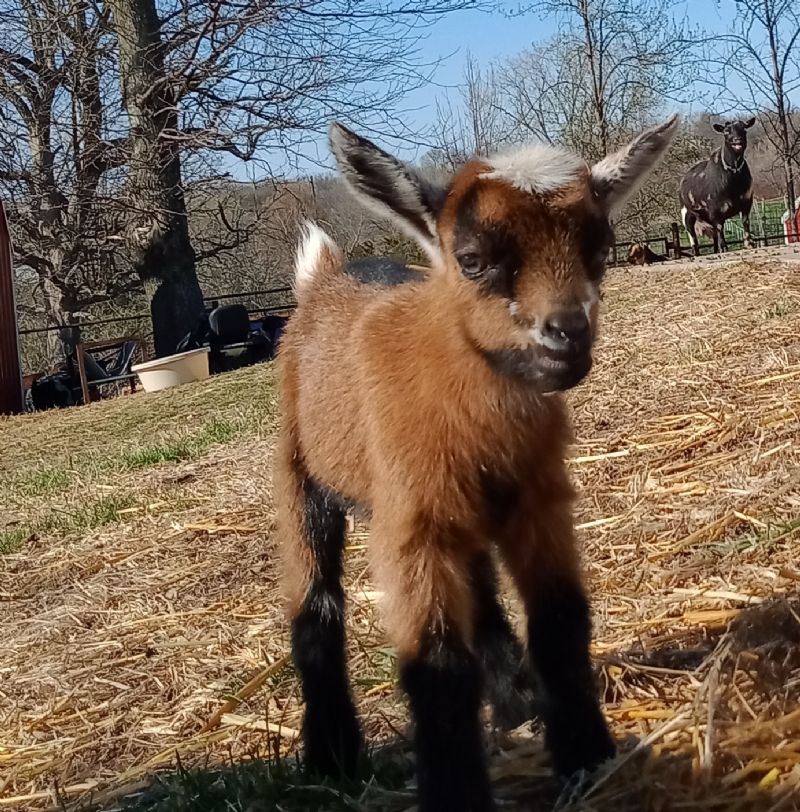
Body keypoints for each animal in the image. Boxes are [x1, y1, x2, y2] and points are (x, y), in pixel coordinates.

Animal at [277, 115, 678, 812]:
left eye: (601, 249)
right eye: (472, 260)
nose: (568, 334)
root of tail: (324, 280)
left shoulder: (539, 501)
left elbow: (561, 623)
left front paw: (587, 756)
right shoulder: (411, 528)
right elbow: (437, 667)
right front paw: (455, 792)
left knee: (481, 588)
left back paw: (515, 702)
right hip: (301, 472)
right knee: (317, 606)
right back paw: (331, 755)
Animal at [679, 118, 756, 255]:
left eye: (744, 129)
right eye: (726, 131)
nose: (737, 140)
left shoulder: (747, 201)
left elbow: (745, 221)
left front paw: (749, 243)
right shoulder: (715, 209)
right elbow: (720, 227)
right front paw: (724, 248)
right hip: (686, 212)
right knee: (692, 234)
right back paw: (696, 252)